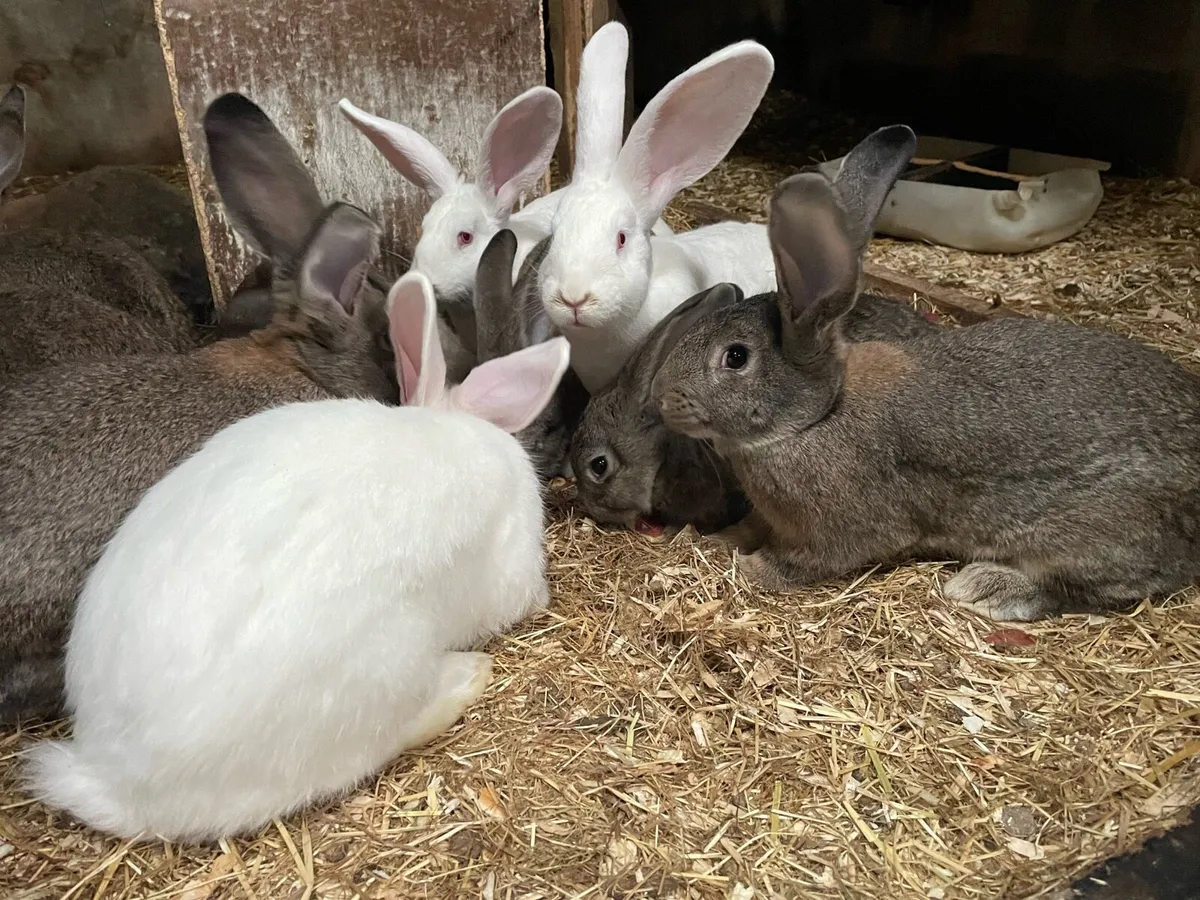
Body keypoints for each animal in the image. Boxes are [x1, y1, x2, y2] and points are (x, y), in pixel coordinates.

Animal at [649, 124, 1200, 622]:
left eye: (735, 357)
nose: (661, 396)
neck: (817, 415)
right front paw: (722, 539)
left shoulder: (843, 532)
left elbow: (803, 562)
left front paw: (751, 569)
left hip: (1092, 539)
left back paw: (985, 587)